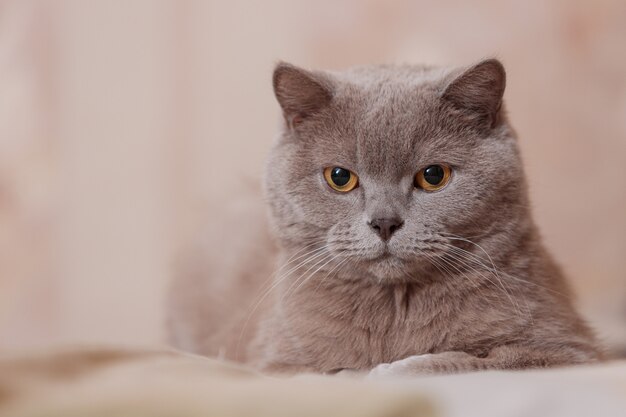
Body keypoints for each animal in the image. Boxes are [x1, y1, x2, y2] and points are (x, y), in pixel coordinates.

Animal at [167, 58, 600, 374]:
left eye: (433, 175)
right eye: (339, 177)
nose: (385, 222)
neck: (395, 306)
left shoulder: (568, 352)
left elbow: (479, 361)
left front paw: (395, 368)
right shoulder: (274, 364)